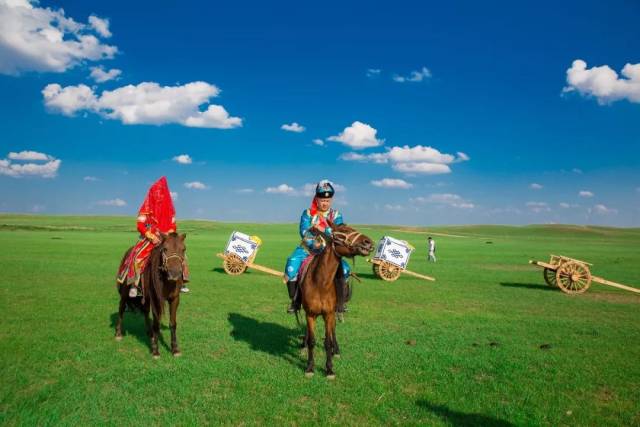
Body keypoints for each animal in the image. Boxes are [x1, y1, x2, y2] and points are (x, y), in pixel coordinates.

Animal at [115, 232, 188, 360]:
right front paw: (155, 351)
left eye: (183, 249)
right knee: (121, 308)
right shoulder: (156, 299)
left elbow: (173, 323)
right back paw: (119, 333)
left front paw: (175, 349)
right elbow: (156, 323)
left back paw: (149, 333)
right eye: (165, 249)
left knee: (145, 310)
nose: (174, 273)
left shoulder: (174, 299)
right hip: (124, 292)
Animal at [302, 222, 376, 380]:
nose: (368, 242)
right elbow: (312, 341)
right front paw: (310, 367)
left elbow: (328, 342)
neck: (321, 283)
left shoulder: (329, 314)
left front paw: (329, 369)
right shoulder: (310, 314)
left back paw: (336, 350)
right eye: (344, 231)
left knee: (333, 332)